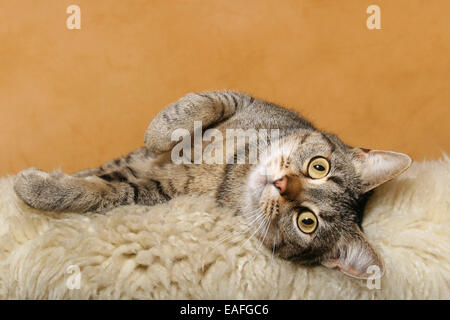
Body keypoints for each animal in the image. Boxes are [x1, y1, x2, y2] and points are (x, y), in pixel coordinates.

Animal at [13, 90, 412, 278]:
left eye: (307, 222)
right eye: (319, 167)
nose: (282, 184)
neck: (233, 171)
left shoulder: (152, 191)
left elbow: (103, 191)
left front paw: (37, 188)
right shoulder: (242, 99)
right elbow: (199, 106)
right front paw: (159, 134)